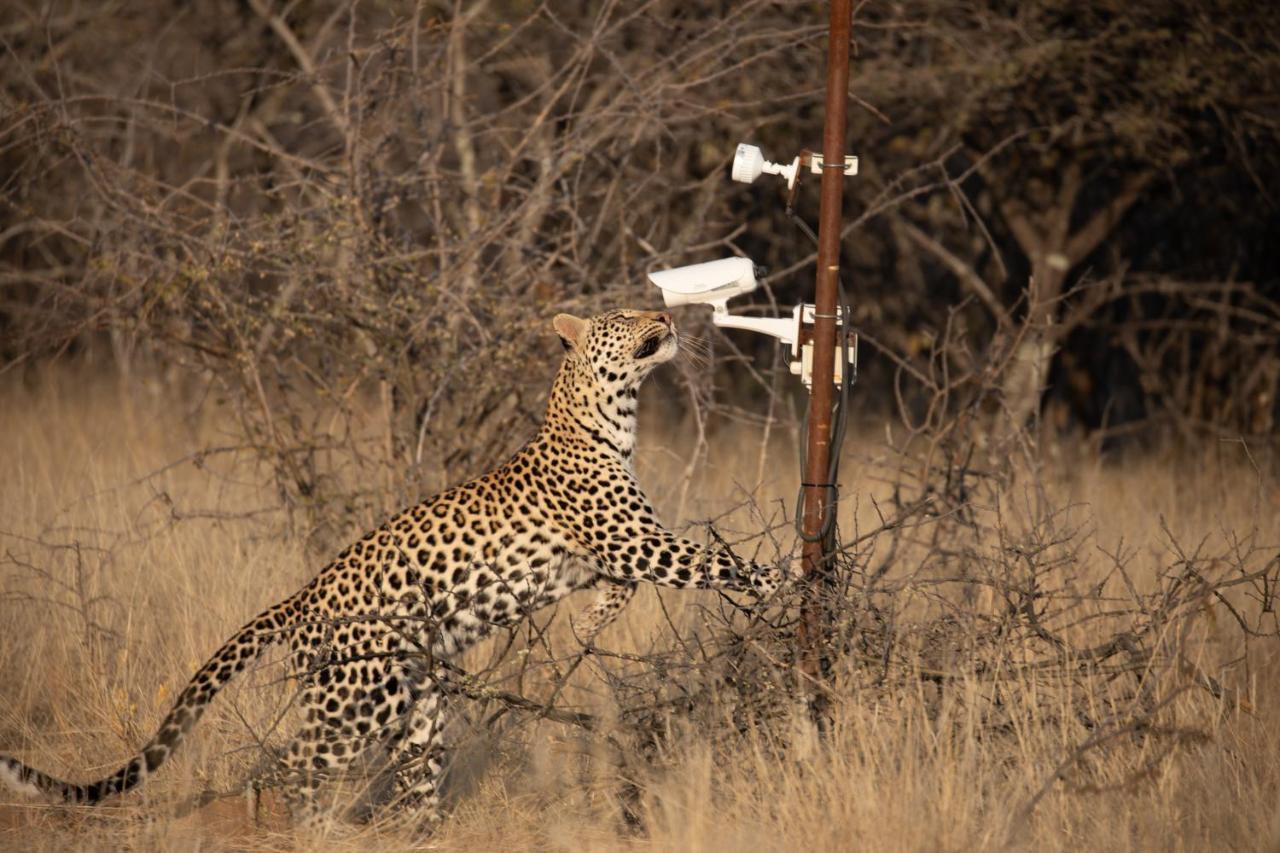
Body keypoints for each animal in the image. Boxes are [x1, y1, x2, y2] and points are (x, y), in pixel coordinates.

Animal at [0, 308, 788, 824]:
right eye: (625, 314)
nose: (665, 312)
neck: (612, 415)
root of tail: (302, 595)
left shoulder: (612, 553)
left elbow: (623, 588)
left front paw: (593, 624)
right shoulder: (634, 540)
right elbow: (716, 560)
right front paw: (786, 579)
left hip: (416, 701)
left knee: (414, 777)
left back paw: (421, 832)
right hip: (357, 700)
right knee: (286, 763)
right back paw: (294, 830)